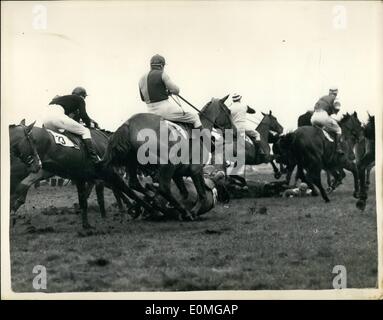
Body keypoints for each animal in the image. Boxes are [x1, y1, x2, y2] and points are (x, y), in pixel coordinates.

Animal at [100, 95, 237, 220]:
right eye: (229, 111)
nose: (234, 132)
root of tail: (128, 124)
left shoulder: (178, 173)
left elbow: (184, 192)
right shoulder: (195, 170)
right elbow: (201, 193)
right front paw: (193, 212)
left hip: (133, 163)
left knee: (133, 184)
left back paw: (151, 205)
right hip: (167, 165)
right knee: (163, 188)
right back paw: (177, 210)